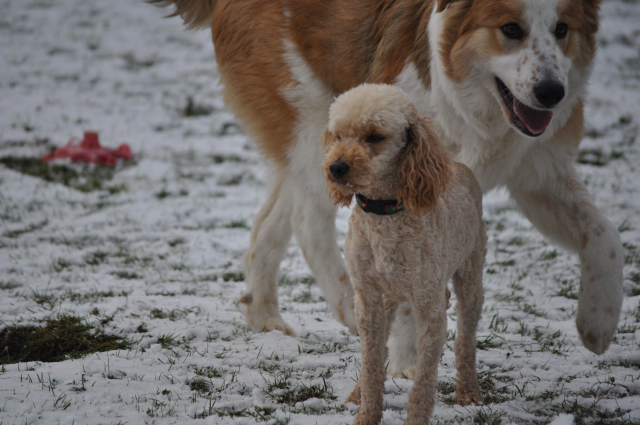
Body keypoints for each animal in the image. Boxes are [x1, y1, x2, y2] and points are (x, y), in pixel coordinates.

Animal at [152, 0, 624, 358]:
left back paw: (265, 315)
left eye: (562, 29)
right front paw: (406, 361)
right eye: (511, 29)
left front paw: (598, 321)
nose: (552, 93)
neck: (478, 112)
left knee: (270, 221)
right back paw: (354, 310)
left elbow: (605, 234)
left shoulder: (539, 176)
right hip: (318, 130)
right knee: (308, 223)